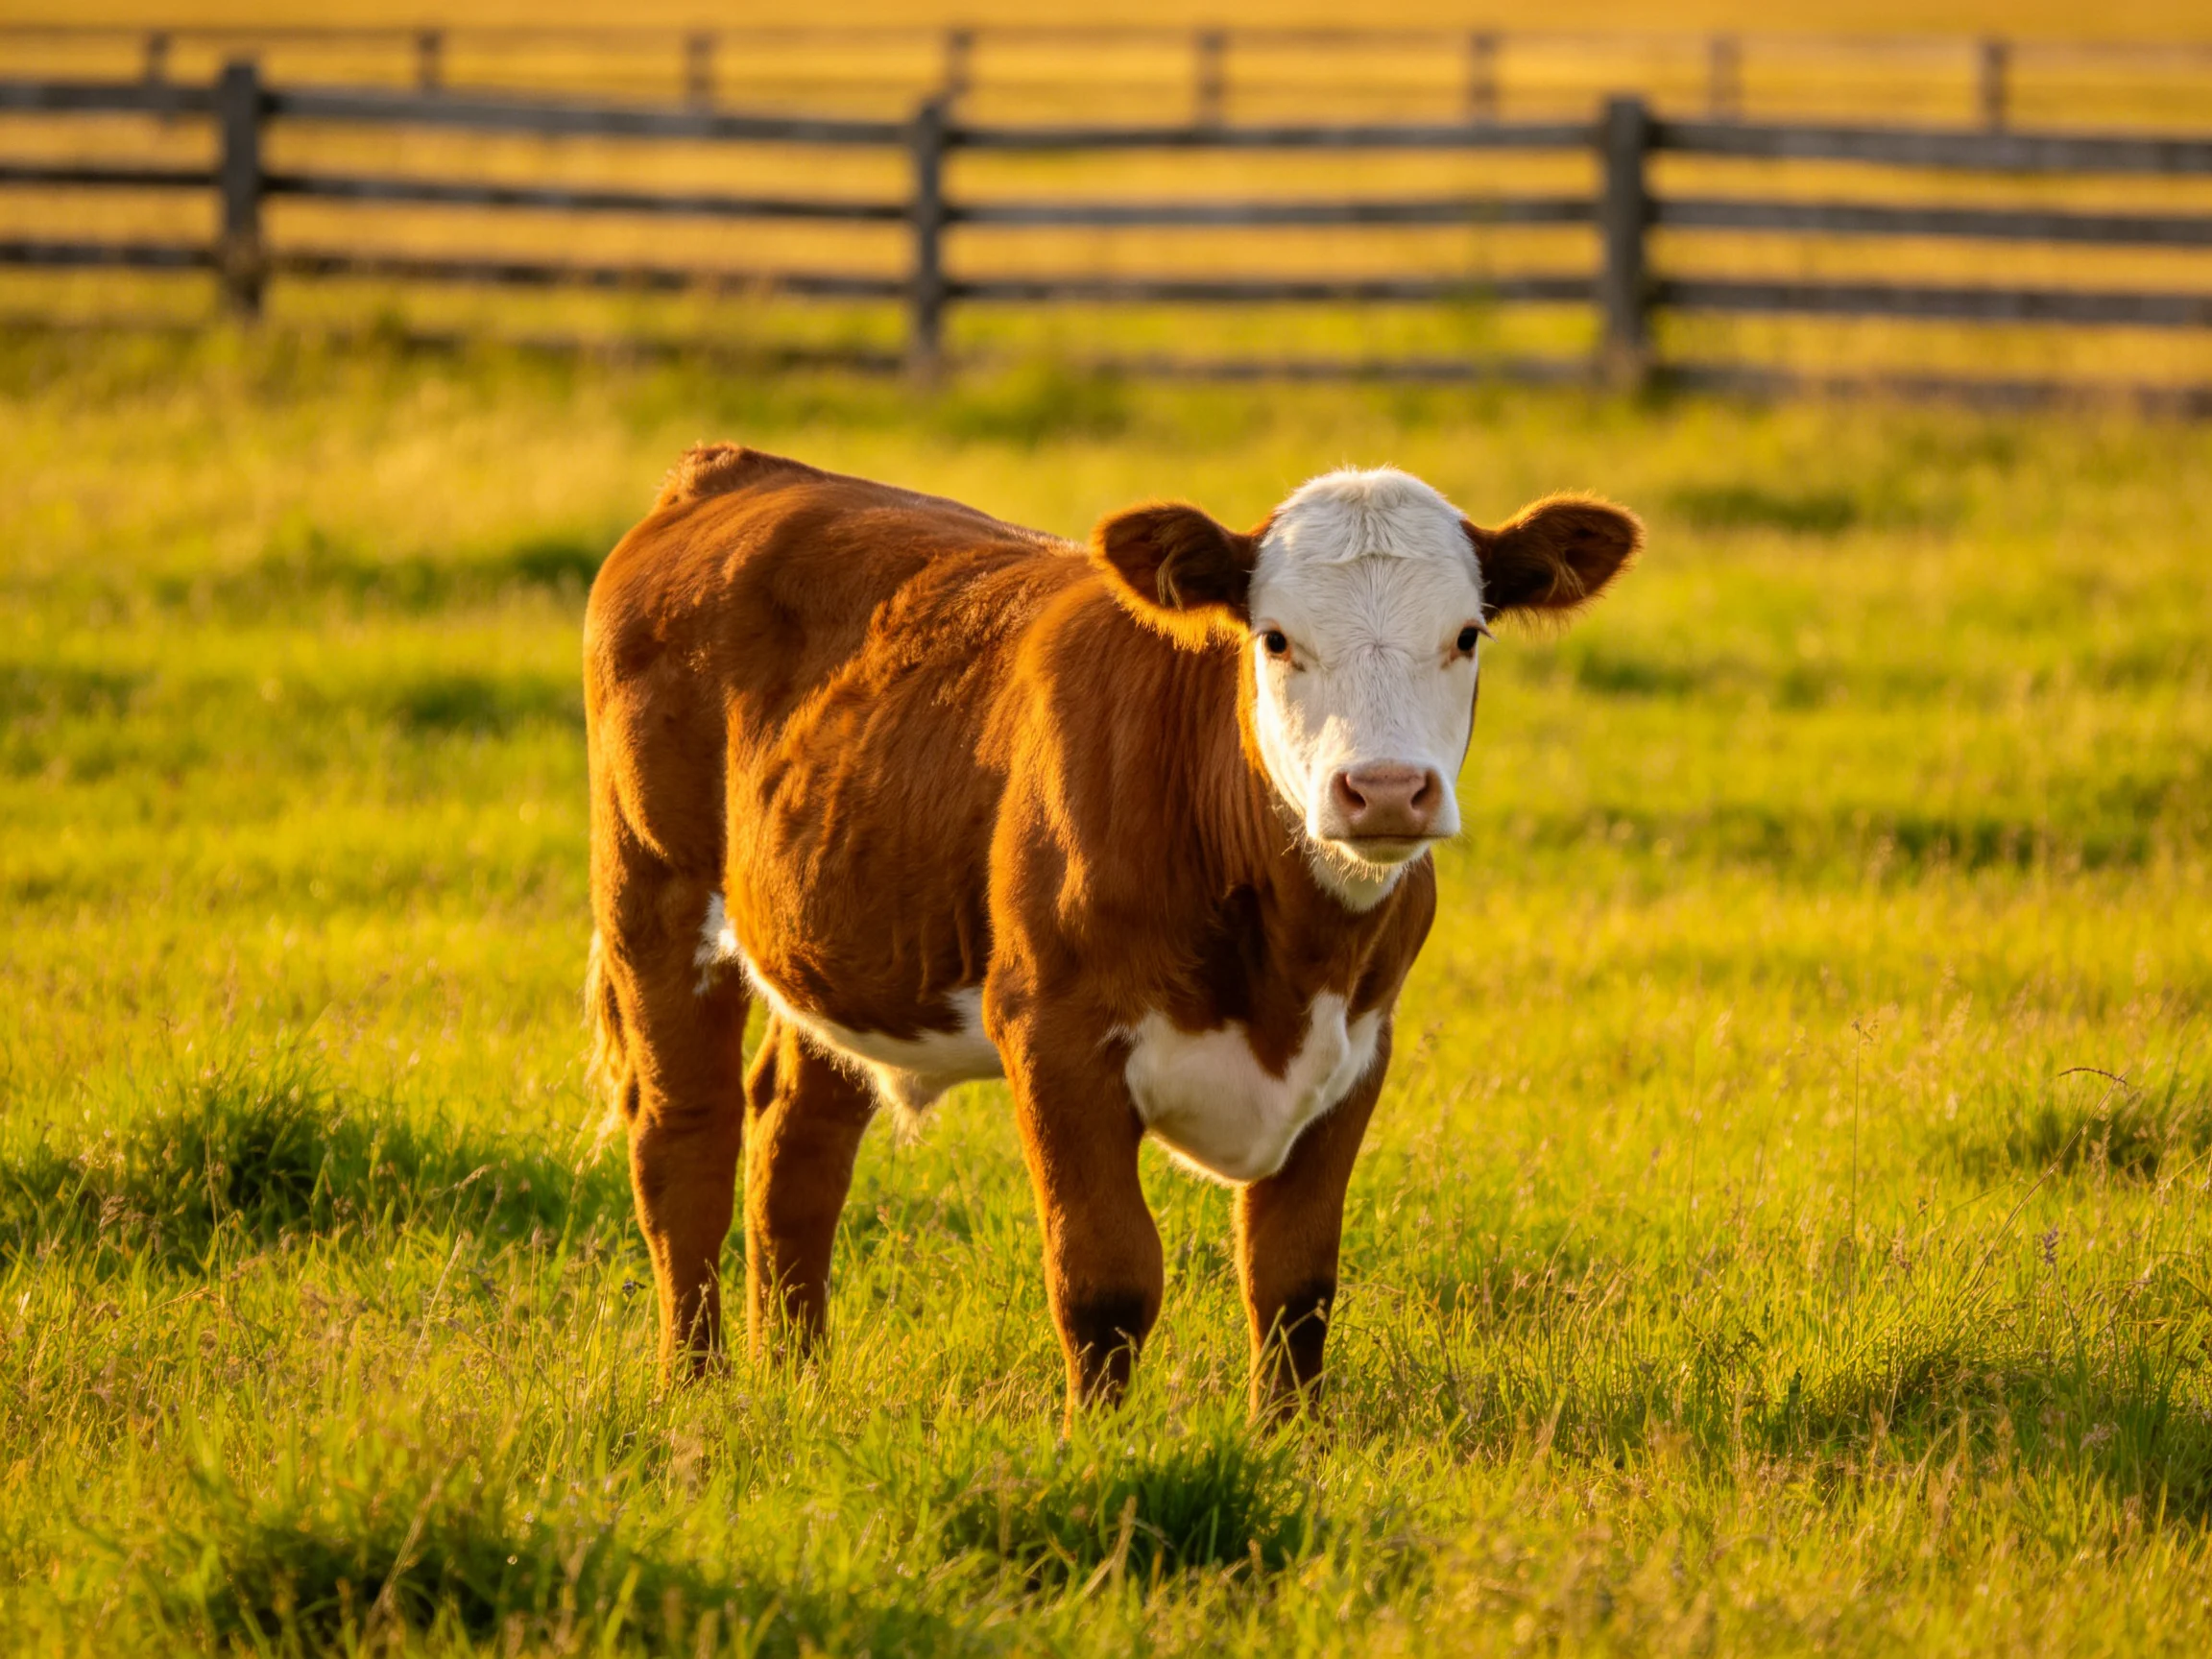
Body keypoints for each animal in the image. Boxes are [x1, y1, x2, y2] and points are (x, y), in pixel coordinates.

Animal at [582, 444, 1638, 1419]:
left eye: (1466, 634)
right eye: (1275, 639)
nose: (1383, 790)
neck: (1287, 960)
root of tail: (739, 471)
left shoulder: (1359, 1046)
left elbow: (1293, 1280)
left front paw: (1289, 1447)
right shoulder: (1054, 1034)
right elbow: (1105, 1277)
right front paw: (1100, 1445)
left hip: (838, 939)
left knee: (796, 1145)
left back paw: (799, 1381)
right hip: (650, 891)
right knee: (685, 1140)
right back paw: (696, 1389)